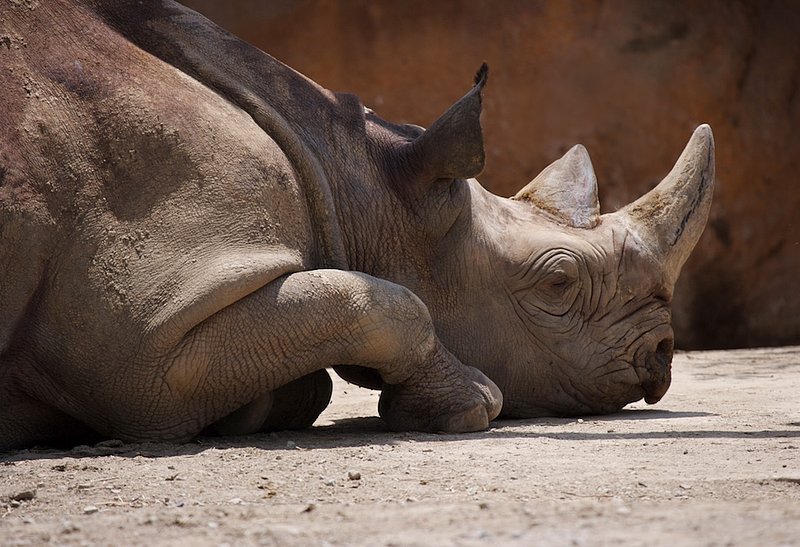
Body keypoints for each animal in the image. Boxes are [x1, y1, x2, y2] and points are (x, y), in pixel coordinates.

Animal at [0, 1, 714, 451]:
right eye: (558, 282)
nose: (660, 358)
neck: (355, 174)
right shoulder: (147, 333)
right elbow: (384, 302)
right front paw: (471, 402)